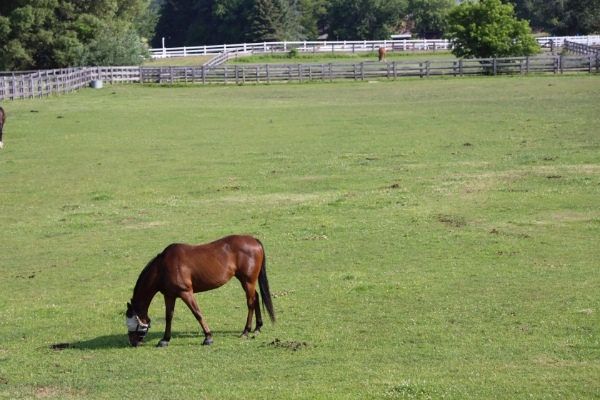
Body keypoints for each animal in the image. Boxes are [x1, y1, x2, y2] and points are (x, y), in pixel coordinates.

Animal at [127, 234, 278, 346]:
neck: (163, 267)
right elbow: (169, 316)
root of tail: (253, 239)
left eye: (130, 323)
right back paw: (257, 327)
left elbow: (197, 313)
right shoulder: (169, 295)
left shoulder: (186, 293)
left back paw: (246, 331)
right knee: (256, 297)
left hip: (248, 281)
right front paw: (165, 339)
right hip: (247, 281)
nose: (133, 342)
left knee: (250, 302)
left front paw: (208, 337)